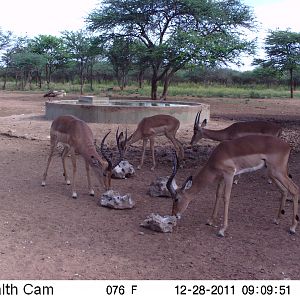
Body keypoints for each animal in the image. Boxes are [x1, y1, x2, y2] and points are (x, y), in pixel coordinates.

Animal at [165, 135, 298, 237]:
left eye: (176, 198)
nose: (174, 215)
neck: (218, 156)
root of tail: (287, 146)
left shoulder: (229, 175)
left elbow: (226, 198)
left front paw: (222, 230)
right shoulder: (221, 178)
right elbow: (218, 195)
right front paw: (210, 221)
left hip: (278, 172)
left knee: (294, 189)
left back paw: (292, 227)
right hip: (270, 172)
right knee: (284, 190)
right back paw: (277, 220)